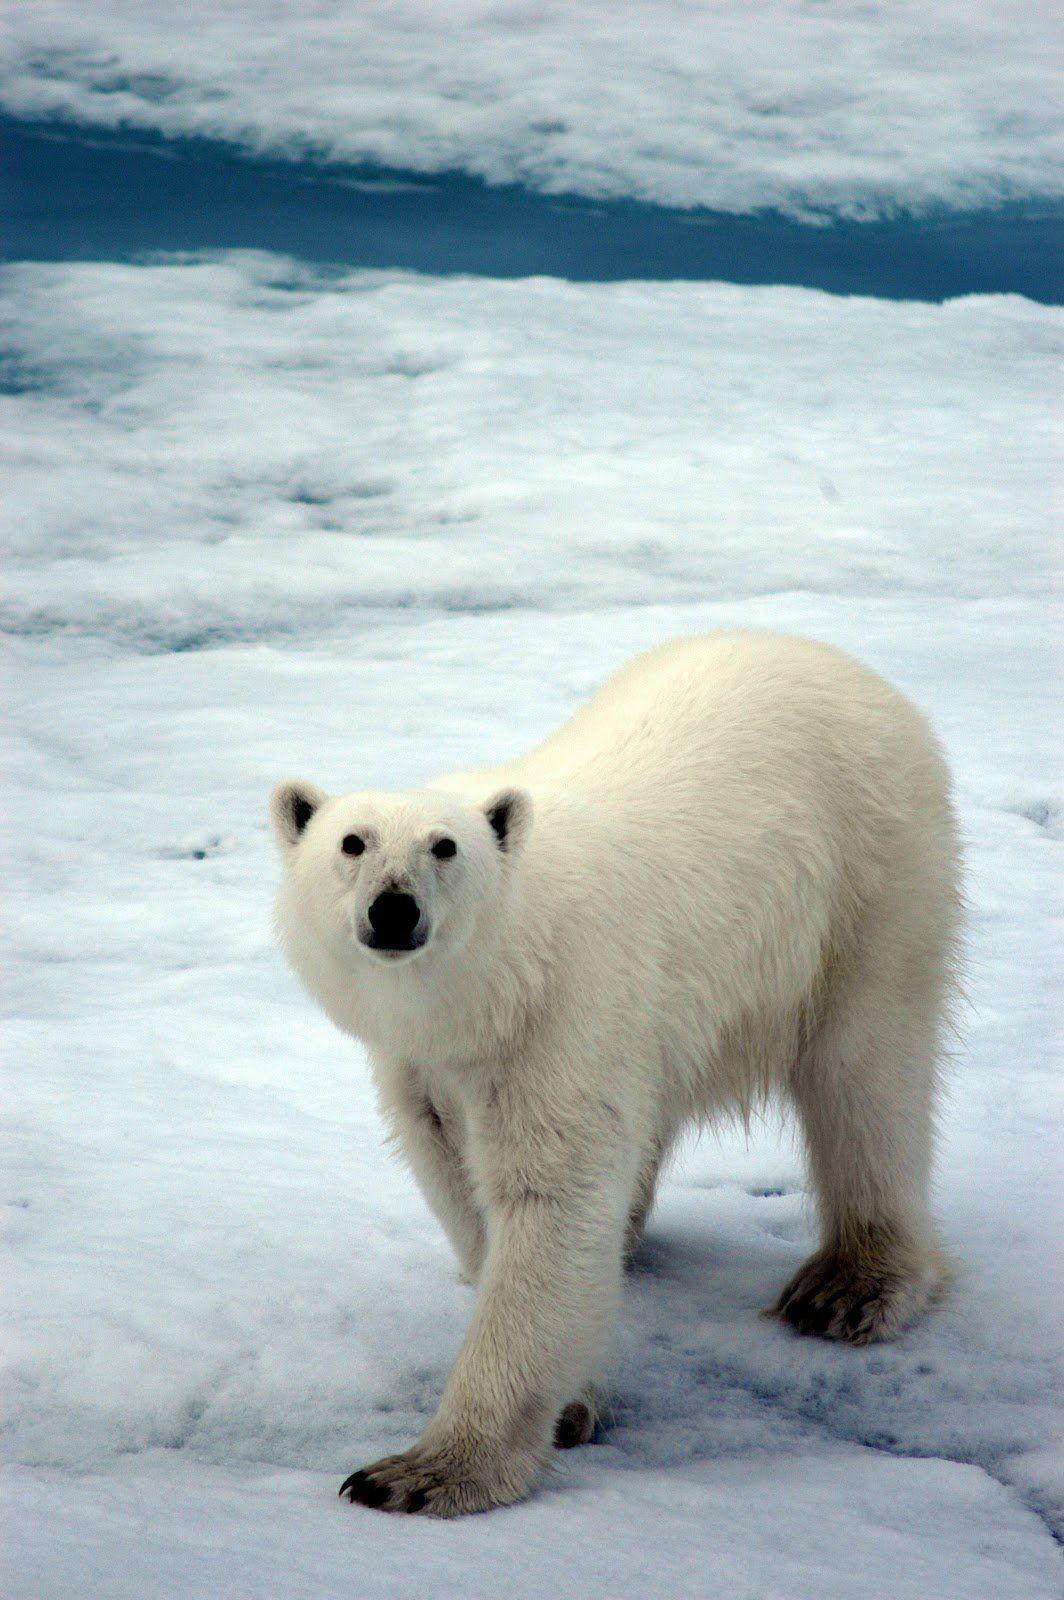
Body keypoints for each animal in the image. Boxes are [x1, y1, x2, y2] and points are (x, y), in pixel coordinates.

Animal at [269, 629, 962, 1517]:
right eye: (351, 842)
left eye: (444, 846)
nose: (394, 909)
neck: (492, 989)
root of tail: (835, 660)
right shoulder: (423, 1064)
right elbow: (460, 1179)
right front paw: (566, 1394)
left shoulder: (562, 1013)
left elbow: (550, 1201)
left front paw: (421, 1472)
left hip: (872, 875)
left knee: (867, 1075)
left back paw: (849, 1286)